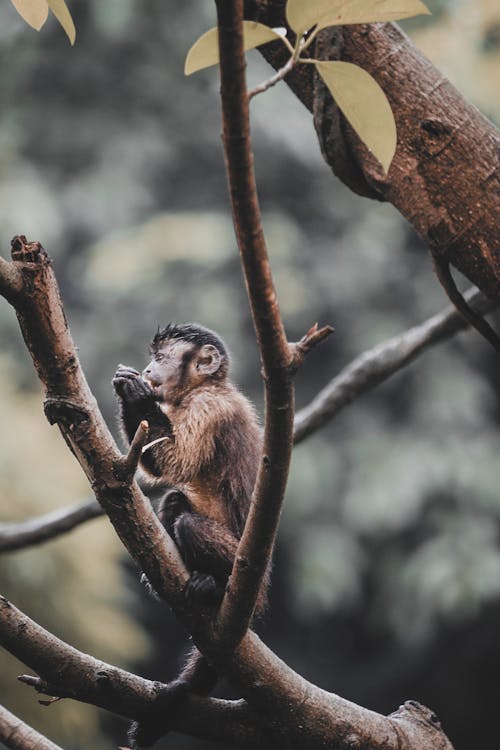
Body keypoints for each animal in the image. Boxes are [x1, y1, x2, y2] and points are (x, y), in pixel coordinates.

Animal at [112, 324, 268, 750]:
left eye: (161, 358)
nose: (149, 370)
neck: (208, 386)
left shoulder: (208, 407)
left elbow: (176, 461)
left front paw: (135, 395)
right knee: (174, 503)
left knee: (186, 521)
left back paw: (214, 586)